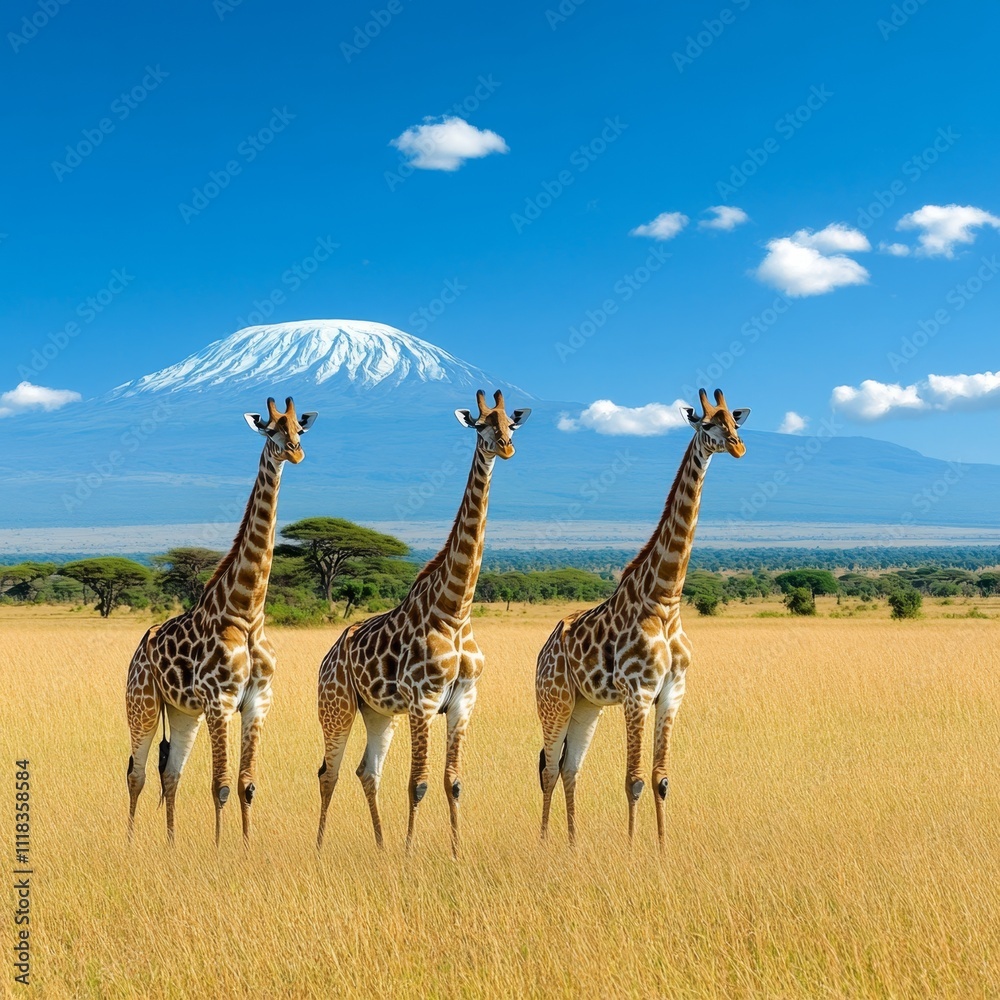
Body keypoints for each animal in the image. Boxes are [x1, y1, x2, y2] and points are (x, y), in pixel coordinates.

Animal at [125, 397, 317, 846]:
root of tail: (139, 649)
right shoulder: (220, 701)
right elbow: (222, 784)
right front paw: (217, 849)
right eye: (271, 430)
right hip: (142, 704)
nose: (296, 452)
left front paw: (245, 848)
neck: (247, 612)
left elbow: (246, 784)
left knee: (170, 774)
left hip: (182, 713)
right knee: (136, 774)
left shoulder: (258, 701)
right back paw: (129, 842)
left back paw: (171, 845)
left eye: (300, 428)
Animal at [316, 389, 530, 857]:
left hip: (379, 713)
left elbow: (453, 782)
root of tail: (328, 656)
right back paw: (320, 847)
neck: (455, 611)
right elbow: (419, 783)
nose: (507, 448)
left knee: (366, 771)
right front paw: (410, 851)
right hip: (336, 706)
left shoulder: (464, 700)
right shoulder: (424, 701)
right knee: (329, 772)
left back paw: (380, 846)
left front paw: (456, 851)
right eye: (480, 425)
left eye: (511, 423)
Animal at [536, 388, 749, 850]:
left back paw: (573, 844)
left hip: (587, 706)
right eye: (708, 424)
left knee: (569, 768)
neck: (665, 600)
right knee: (548, 768)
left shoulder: (672, 692)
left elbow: (660, 779)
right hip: (554, 701)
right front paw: (634, 850)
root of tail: (542, 651)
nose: (738, 447)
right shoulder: (638, 692)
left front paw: (663, 849)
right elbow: (632, 779)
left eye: (735, 422)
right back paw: (544, 843)